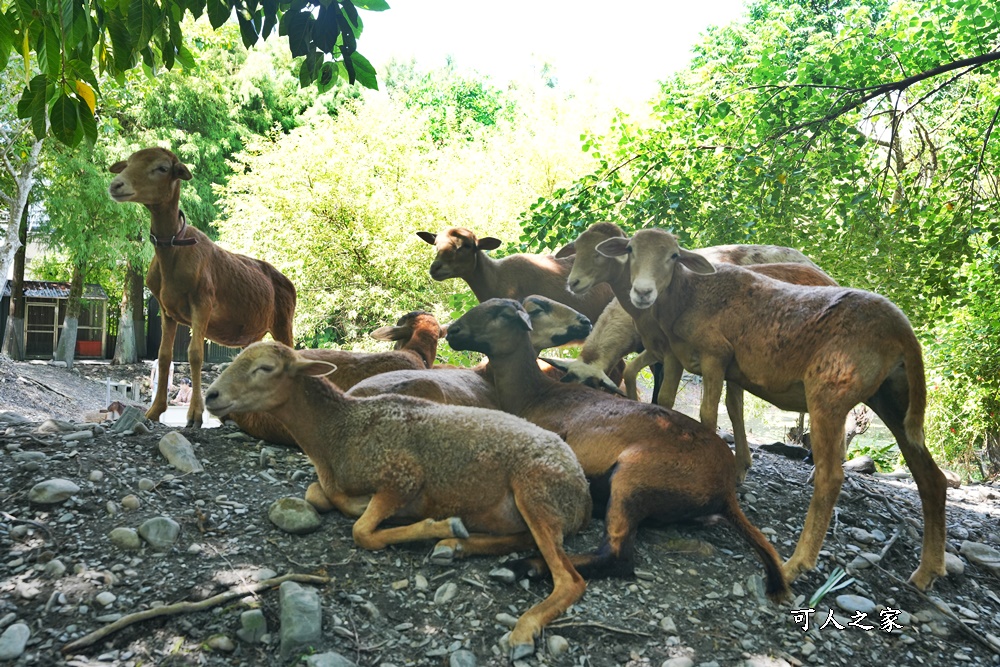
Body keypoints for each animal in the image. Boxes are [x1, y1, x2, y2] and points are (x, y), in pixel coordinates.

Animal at [110, 147, 296, 428]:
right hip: (253, 333)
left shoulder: (203, 301)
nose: (116, 185)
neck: (173, 251)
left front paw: (195, 415)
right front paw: (154, 411)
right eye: (128, 163)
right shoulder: (166, 309)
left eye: (162, 168)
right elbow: (164, 357)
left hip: (284, 320)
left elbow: (195, 353)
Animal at [205, 342, 592, 660]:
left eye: (265, 368)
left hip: (536, 487)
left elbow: (362, 530)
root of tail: (584, 495)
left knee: (569, 580)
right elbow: (320, 495)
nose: (211, 395)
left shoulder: (402, 475)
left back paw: (522, 628)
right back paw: (454, 545)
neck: (337, 434)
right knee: (524, 539)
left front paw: (429, 522)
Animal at [446, 298, 788, 600]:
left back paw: (522, 566)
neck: (536, 394)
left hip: (633, 479)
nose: (452, 331)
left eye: (501, 314)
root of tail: (726, 487)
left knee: (617, 557)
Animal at [596, 228, 948, 588]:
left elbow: (707, 416)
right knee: (930, 477)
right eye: (630, 249)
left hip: (830, 391)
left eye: (674, 256)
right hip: (893, 397)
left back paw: (796, 563)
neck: (689, 296)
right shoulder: (680, 357)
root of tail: (903, 329)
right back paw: (927, 571)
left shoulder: (715, 356)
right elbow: (672, 403)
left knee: (831, 477)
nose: (642, 292)